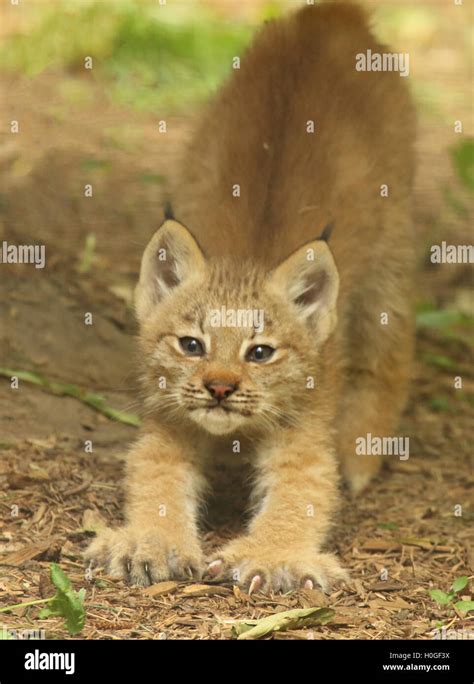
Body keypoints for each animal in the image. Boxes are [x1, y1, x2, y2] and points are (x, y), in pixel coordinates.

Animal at [85, 1, 414, 592]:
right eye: (191, 345)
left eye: (260, 353)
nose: (219, 388)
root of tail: (330, 16)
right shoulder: (168, 416)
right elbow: (153, 477)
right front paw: (151, 542)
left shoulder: (305, 426)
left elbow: (302, 493)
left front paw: (273, 554)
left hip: (392, 248)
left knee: (392, 351)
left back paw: (361, 453)